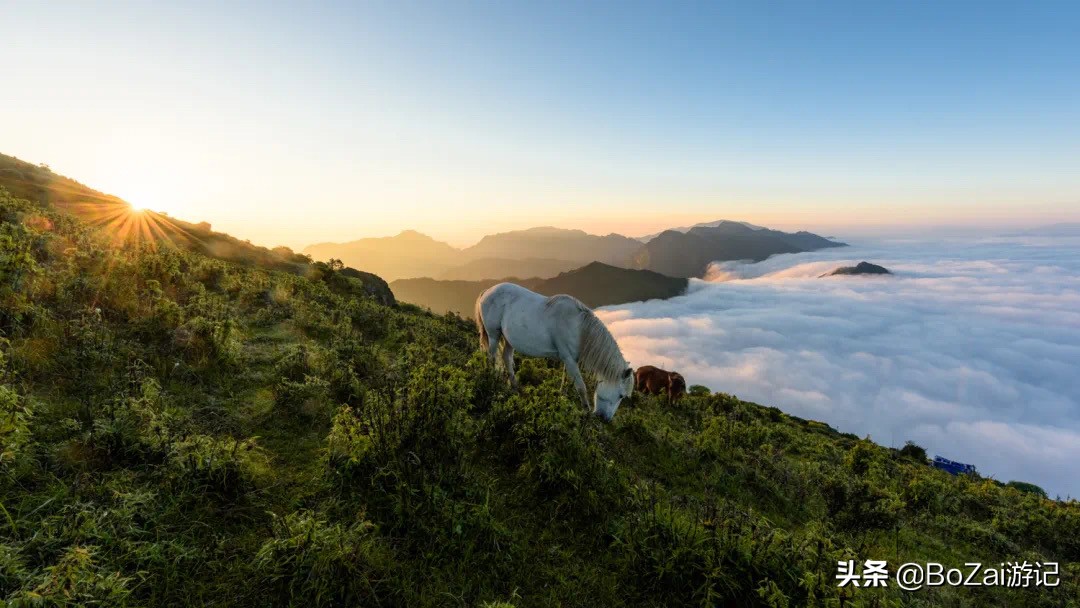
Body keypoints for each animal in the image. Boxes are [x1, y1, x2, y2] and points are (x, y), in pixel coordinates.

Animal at [475, 282, 630, 421]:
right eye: (621, 395)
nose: (605, 419)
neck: (579, 328)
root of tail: (488, 291)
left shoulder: (569, 360)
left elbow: (566, 381)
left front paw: (561, 399)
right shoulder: (569, 359)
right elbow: (581, 386)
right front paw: (585, 412)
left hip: (509, 339)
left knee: (506, 357)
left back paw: (515, 387)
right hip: (493, 335)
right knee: (492, 357)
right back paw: (492, 381)